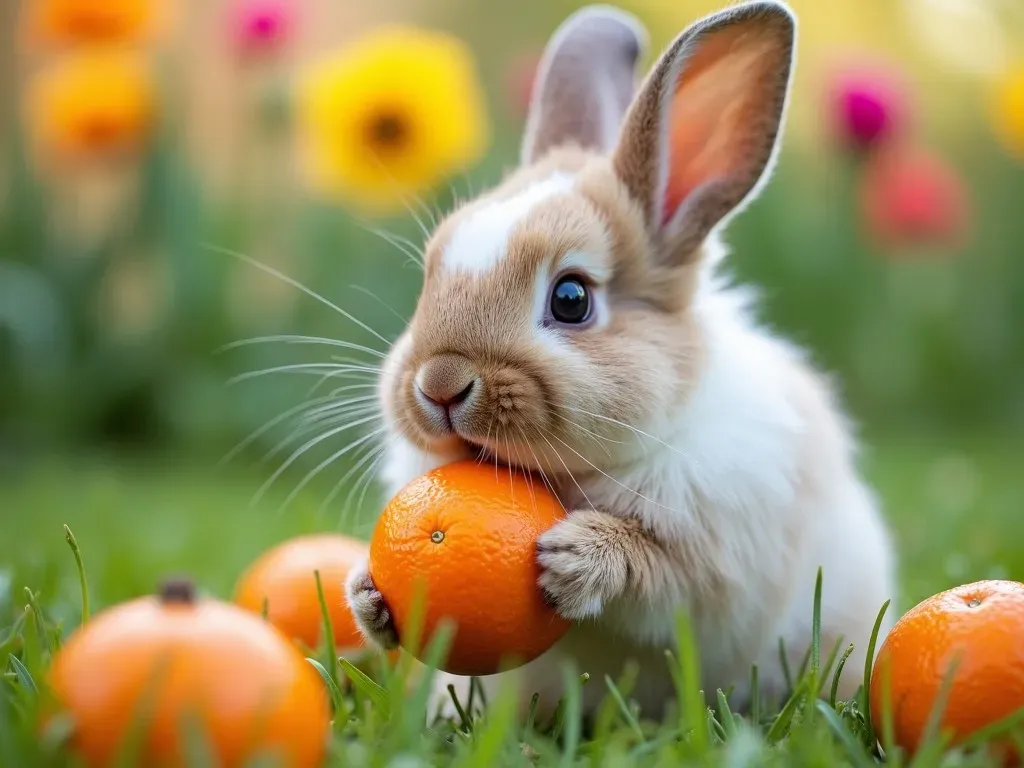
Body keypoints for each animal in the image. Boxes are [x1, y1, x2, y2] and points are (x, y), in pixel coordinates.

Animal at [344, 0, 897, 720]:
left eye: (571, 298)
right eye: (429, 276)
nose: (439, 384)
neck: (572, 479)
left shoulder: (714, 557)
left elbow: (658, 576)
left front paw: (577, 559)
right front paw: (365, 593)